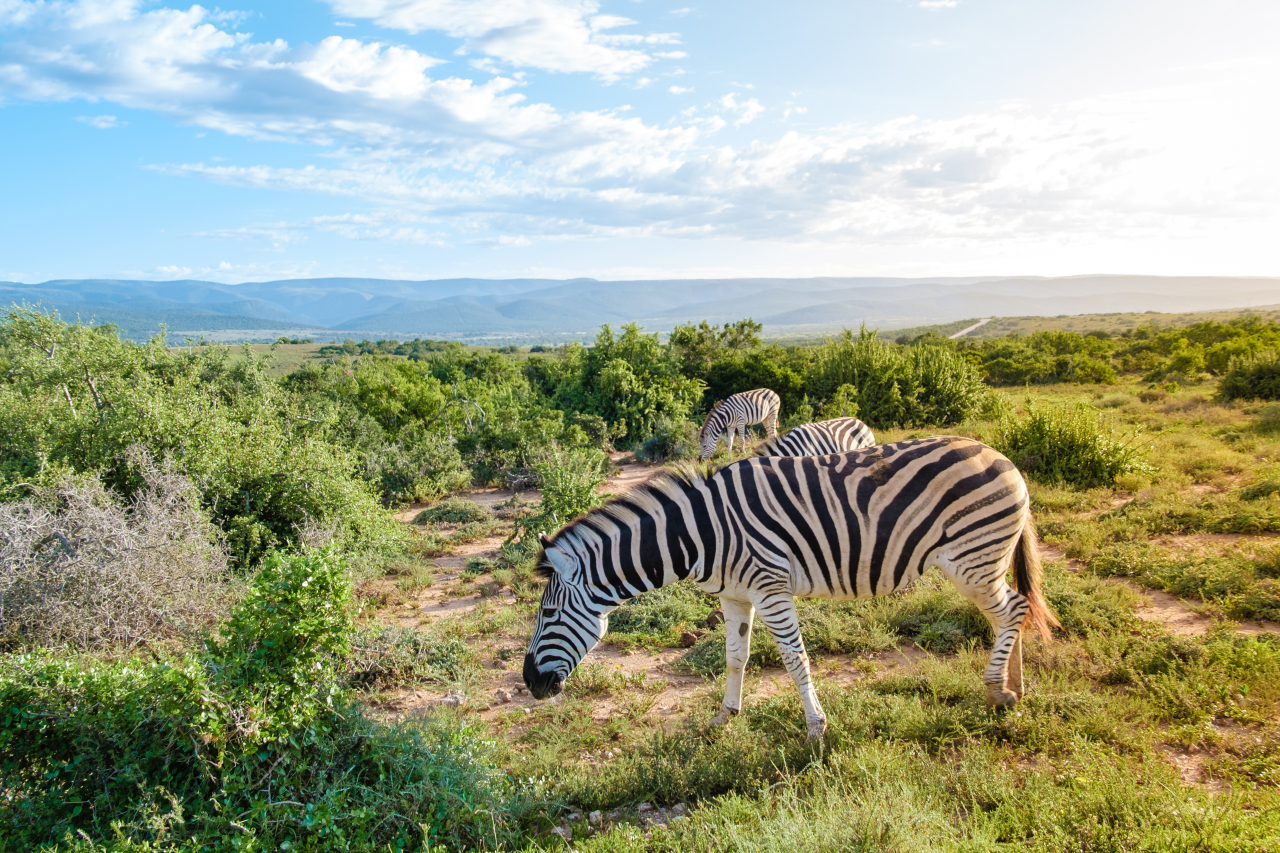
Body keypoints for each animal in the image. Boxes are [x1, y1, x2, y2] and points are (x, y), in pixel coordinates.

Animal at [523, 436, 1059, 739]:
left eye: (547, 616)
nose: (530, 684)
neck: (699, 535)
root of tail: (1002, 456)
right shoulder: (734, 595)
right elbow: (734, 657)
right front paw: (724, 718)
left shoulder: (770, 588)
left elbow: (795, 659)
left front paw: (816, 730)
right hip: (980, 561)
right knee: (1011, 612)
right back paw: (1015, 687)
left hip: (972, 559)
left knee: (1013, 611)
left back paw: (997, 692)